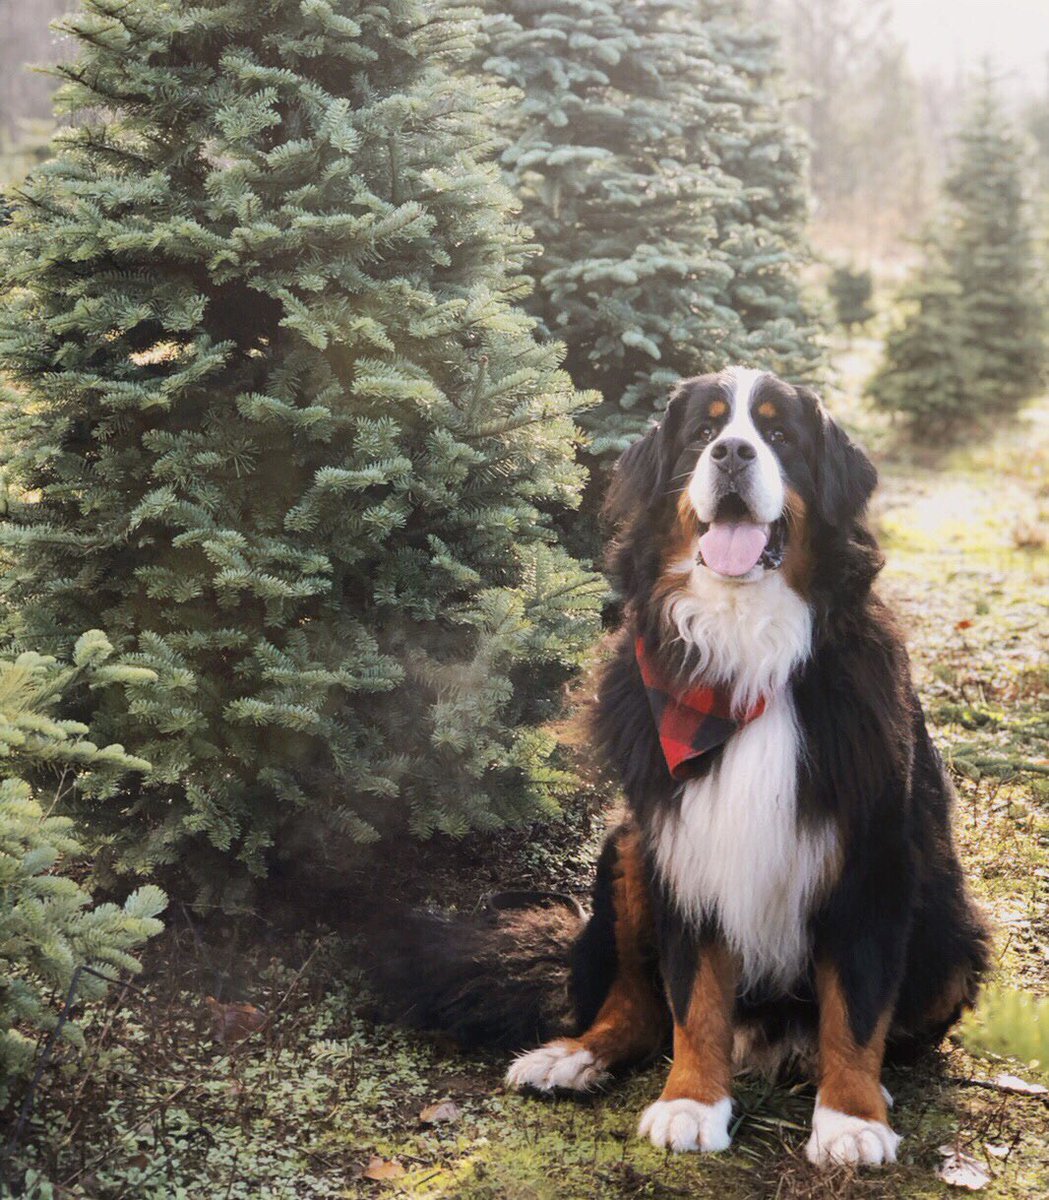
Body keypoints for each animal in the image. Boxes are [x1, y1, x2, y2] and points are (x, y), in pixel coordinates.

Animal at [376, 367, 988, 1171]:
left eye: (778, 433)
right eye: (703, 432)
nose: (731, 453)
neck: (743, 655)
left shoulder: (872, 856)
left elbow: (855, 1008)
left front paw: (851, 1116)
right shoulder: (683, 843)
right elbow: (692, 999)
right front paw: (692, 1103)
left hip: (951, 936)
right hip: (627, 847)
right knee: (636, 1003)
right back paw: (571, 1055)